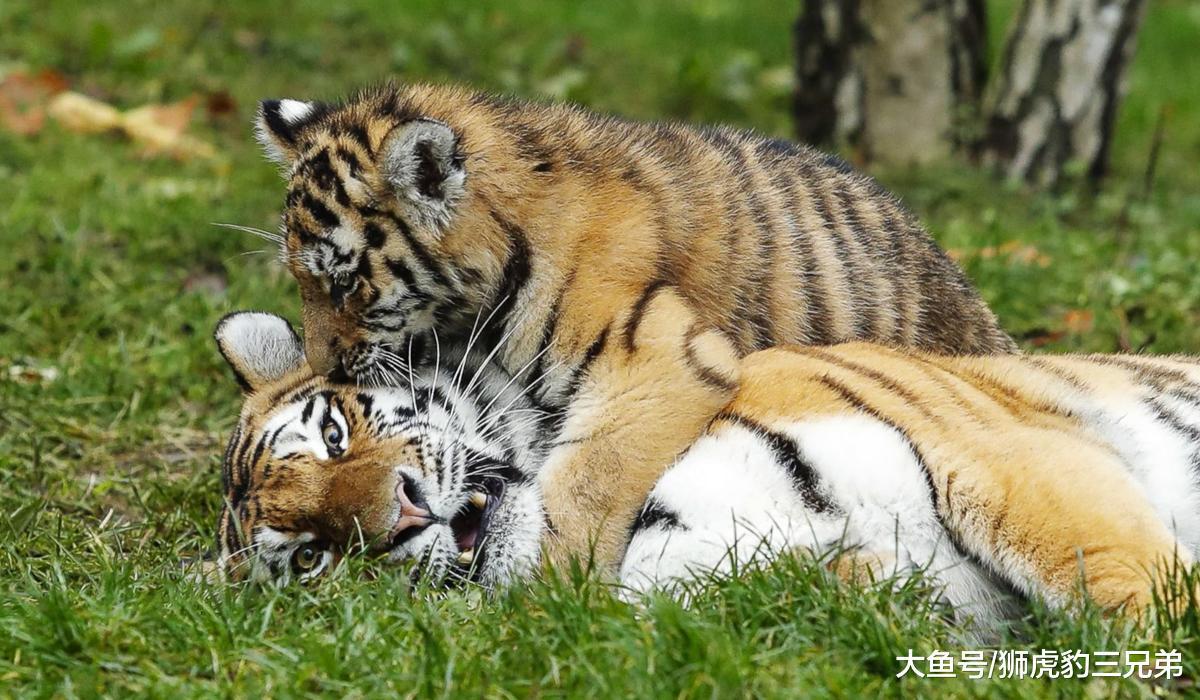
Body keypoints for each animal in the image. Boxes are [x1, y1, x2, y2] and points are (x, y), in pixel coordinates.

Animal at [249, 83, 1016, 569]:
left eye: (344, 283)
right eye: (299, 279)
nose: (326, 368)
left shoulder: (663, 354)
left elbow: (586, 479)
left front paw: (549, 598)